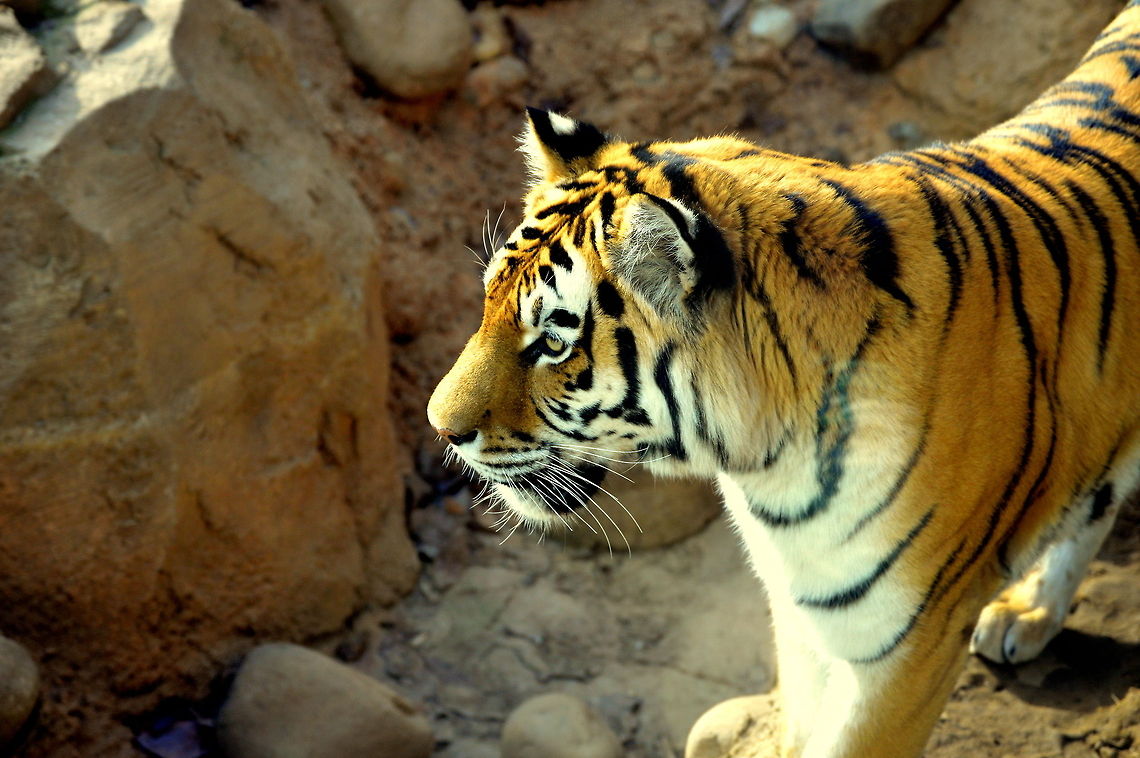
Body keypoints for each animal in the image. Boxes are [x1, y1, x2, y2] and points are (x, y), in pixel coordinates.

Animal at [426, 3, 1140, 756]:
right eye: (487, 302)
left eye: (555, 342)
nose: (440, 427)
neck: (771, 468)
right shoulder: (803, 616)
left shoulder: (912, 645)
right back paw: (1028, 613)